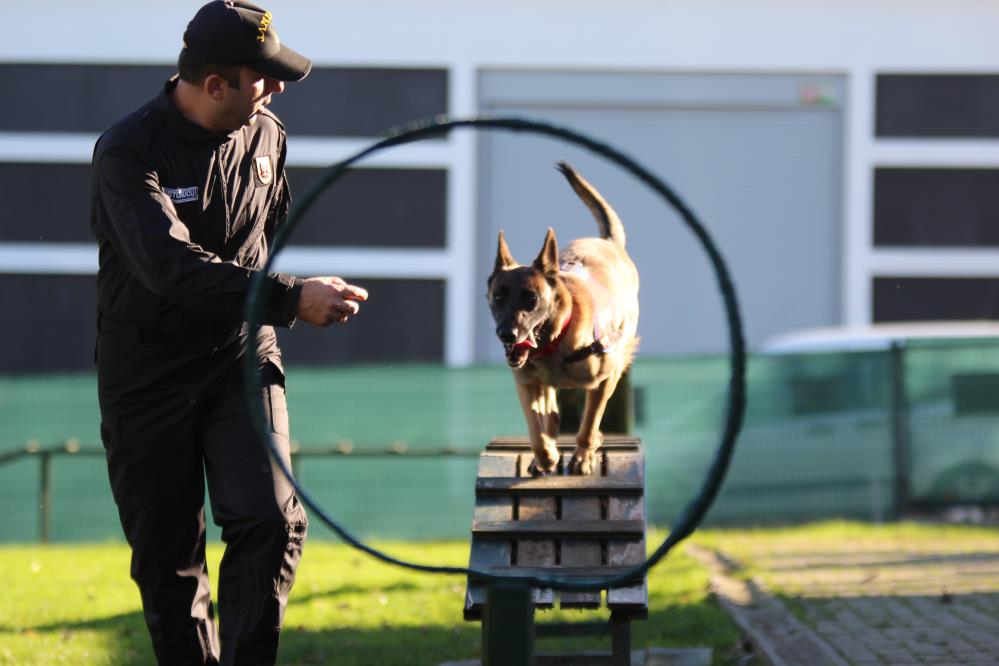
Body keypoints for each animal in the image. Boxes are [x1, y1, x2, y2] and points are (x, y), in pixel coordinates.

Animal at [486, 160, 640, 472]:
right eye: (498, 298)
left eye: (531, 298)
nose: (507, 335)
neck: (554, 342)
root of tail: (607, 241)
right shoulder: (527, 384)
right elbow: (537, 431)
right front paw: (545, 455)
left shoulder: (605, 378)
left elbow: (589, 423)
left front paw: (582, 455)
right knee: (551, 413)